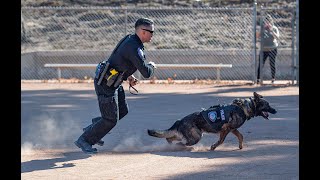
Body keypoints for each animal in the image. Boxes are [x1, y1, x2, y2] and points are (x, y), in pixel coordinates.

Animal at [148, 92, 276, 150]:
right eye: (267, 105)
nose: (275, 111)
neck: (246, 107)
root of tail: (180, 120)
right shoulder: (226, 129)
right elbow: (221, 140)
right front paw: (214, 146)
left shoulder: (232, 129)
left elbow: (241, 136)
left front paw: (240, 146)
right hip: (196, 137)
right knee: (181, 143)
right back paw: (181, 148)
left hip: (188, 135)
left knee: (170, 137)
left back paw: (170, 144)